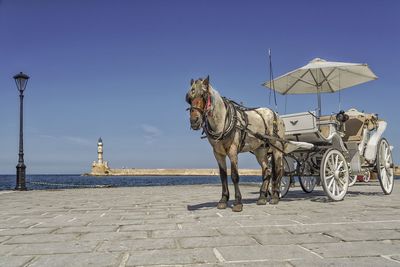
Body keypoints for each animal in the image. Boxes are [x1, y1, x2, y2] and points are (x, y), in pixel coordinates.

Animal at [186, 76, 286, 213]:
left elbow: (234, 175)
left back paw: (275, 197)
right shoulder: (218, 153)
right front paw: (223, 200)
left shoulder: (232, 150)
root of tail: (276, 115)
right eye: (189, 99)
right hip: (260, 150)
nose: (194, 121)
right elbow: (223, 175)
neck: (222, 122)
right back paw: (261, 197)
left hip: (277, 148)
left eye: (203, 95)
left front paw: (238, 202)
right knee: (267, 171)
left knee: (279, 170)